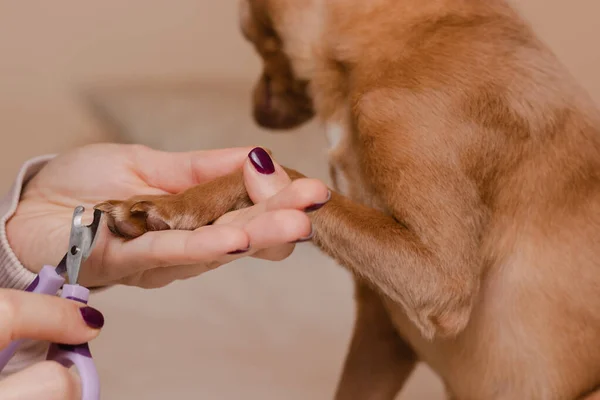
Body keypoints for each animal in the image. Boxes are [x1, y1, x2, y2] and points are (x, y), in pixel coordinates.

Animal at [96, 0, 600, 398]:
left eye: (251, 33)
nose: (255, 109)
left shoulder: (440, 278)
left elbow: (284, 174)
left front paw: (175, 204)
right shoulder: (381, 326)